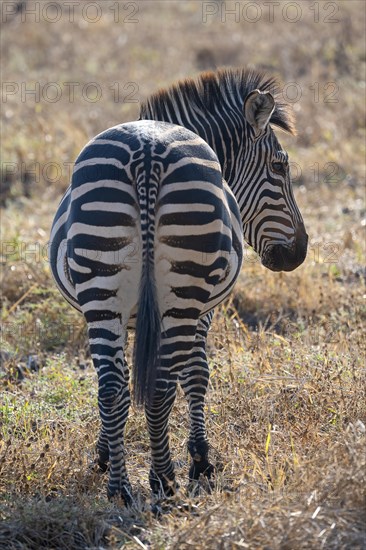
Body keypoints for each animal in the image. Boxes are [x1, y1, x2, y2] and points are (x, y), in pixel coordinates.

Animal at [48, 68, 306, 504]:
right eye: (279, 167)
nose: (299, 252)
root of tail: (148, 151)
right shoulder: (205, 311)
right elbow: (197, 373)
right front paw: (201, 461)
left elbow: (119, 383)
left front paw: (103, 456)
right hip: (183, 295)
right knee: (161, 386)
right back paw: (163, 482)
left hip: (102, 290)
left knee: (112, 386)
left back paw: (120, 489)